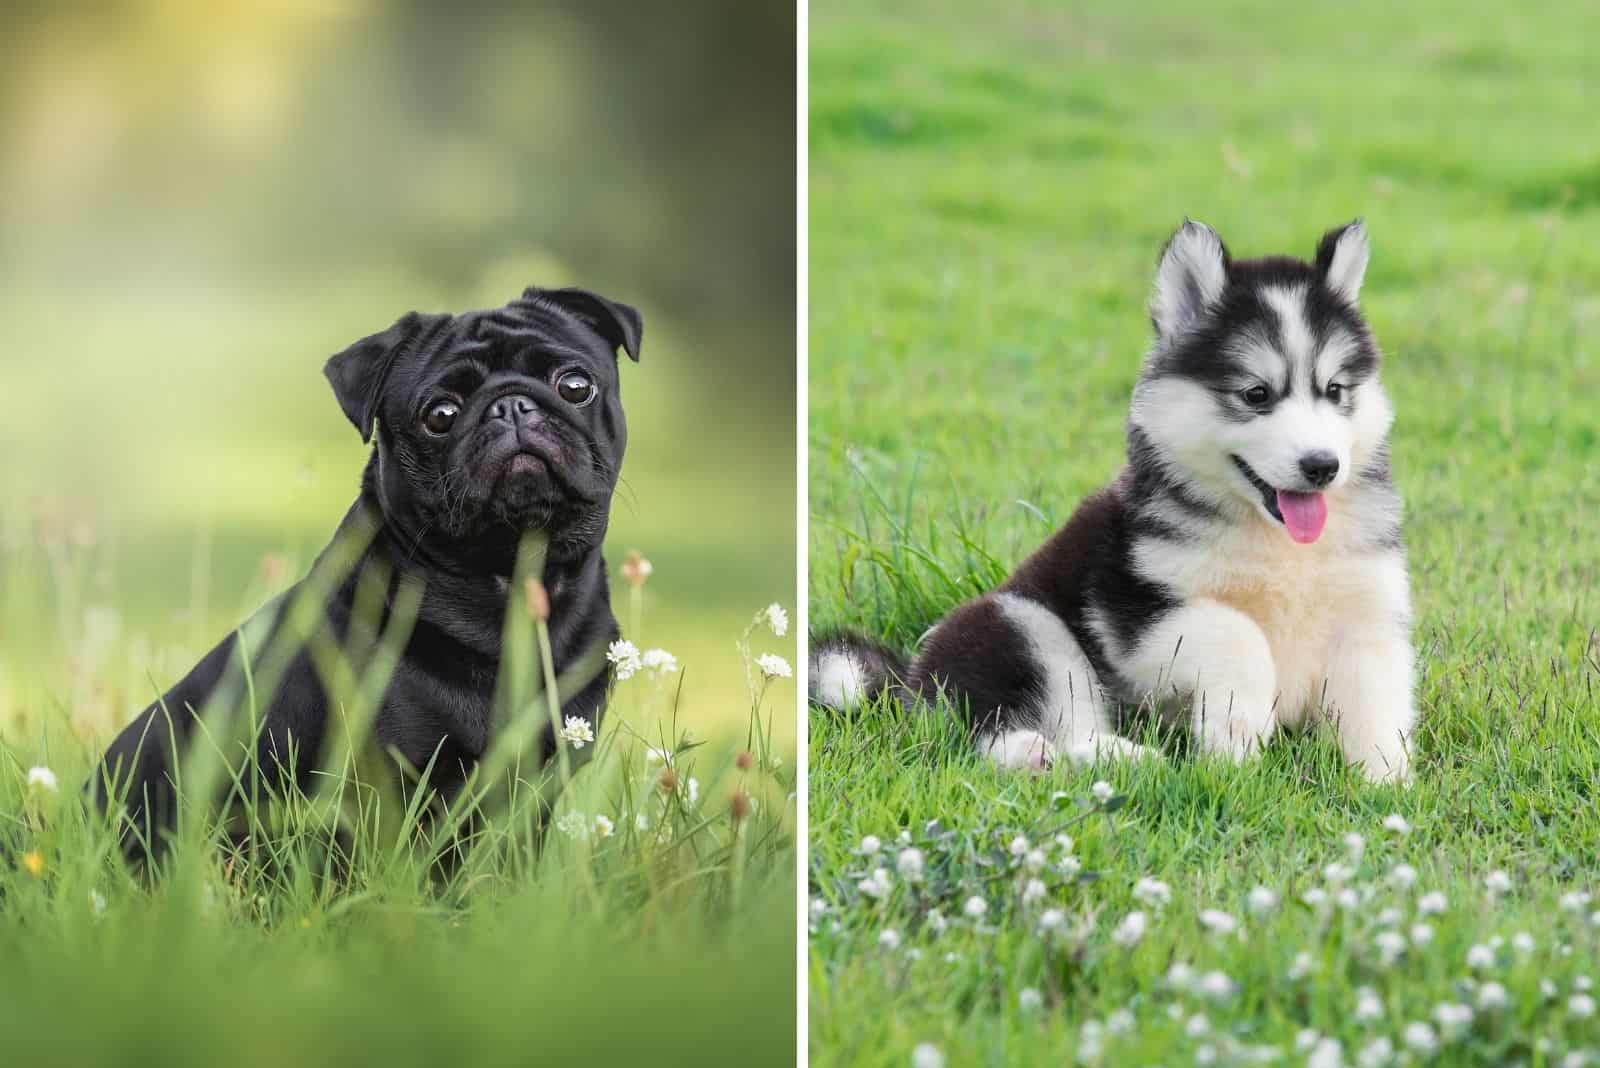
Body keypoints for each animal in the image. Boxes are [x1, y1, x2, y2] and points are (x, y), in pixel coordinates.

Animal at [812, 220, 1414, 780]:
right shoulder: (1135, 612)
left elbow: (1378, 699)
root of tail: (911, 678)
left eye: (1334, 390)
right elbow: (1237, 632)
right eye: (1256, 394)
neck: (1281, 548)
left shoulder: (1368, 613)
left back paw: (1122, 759)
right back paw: (1045, 754)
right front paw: (1237, 734)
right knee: (999, 730)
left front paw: (1385, 782)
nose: (1322, 466)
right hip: (1024, 623)